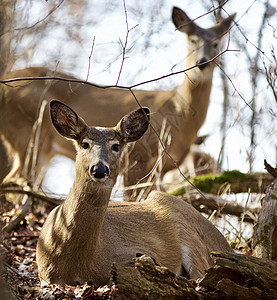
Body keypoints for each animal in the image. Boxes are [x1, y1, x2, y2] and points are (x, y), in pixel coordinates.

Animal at [0, 7, 234, 191]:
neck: (179, 111)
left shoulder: (161, 169)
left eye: (216, 43)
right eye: (192, 40)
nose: (202, 62)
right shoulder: (136, 159)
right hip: (28, 134)